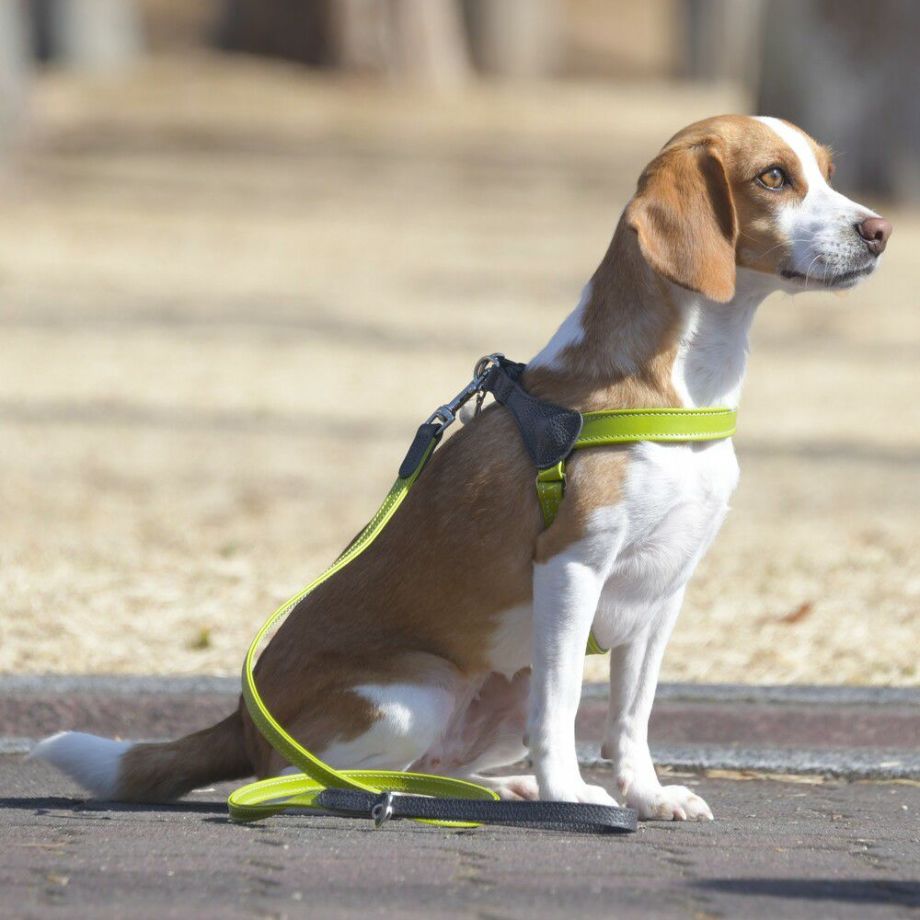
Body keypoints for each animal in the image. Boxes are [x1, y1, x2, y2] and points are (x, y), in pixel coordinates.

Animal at [32, 116, 891, 821]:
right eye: (773, 177)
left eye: (826, 169)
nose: (880, 230)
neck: (684, 387)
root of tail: (243, 722)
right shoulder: (572, 568)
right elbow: (564, 711)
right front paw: (574, 795)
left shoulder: (663, 593)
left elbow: (630, 720)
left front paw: (643, 797)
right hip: (417, 692)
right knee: (312, 777)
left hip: (489, 694)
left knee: (429, 769)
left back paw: (501, 790)